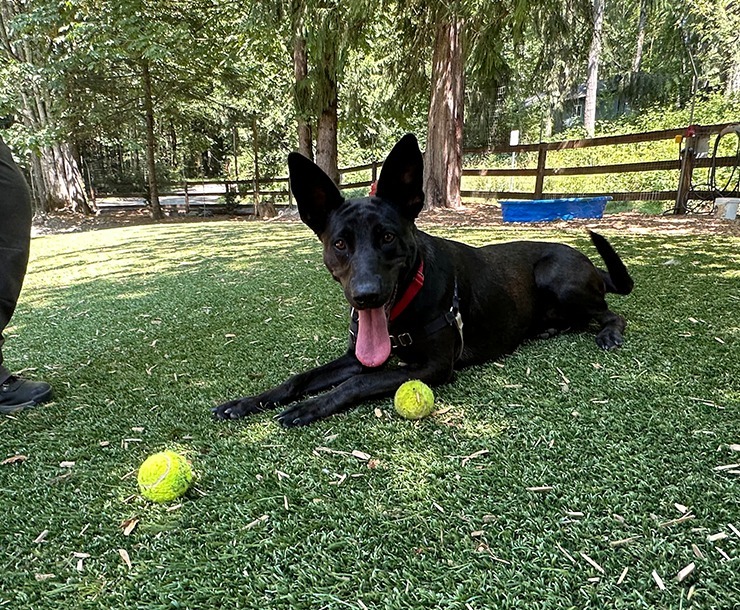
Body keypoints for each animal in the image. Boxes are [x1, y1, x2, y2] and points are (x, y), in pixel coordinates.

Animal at [211, 132, 632, 428]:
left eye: (387, 237)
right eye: (340, 243)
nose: (366, 296)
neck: (405, 303)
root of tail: (590, 265)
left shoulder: (433, 366)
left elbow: (355, 384)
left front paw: (309, 407)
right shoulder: (358, 356)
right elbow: (299, 378)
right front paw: (246, 402)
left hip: (557, 278)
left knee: (612, 312)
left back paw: (608, 333)